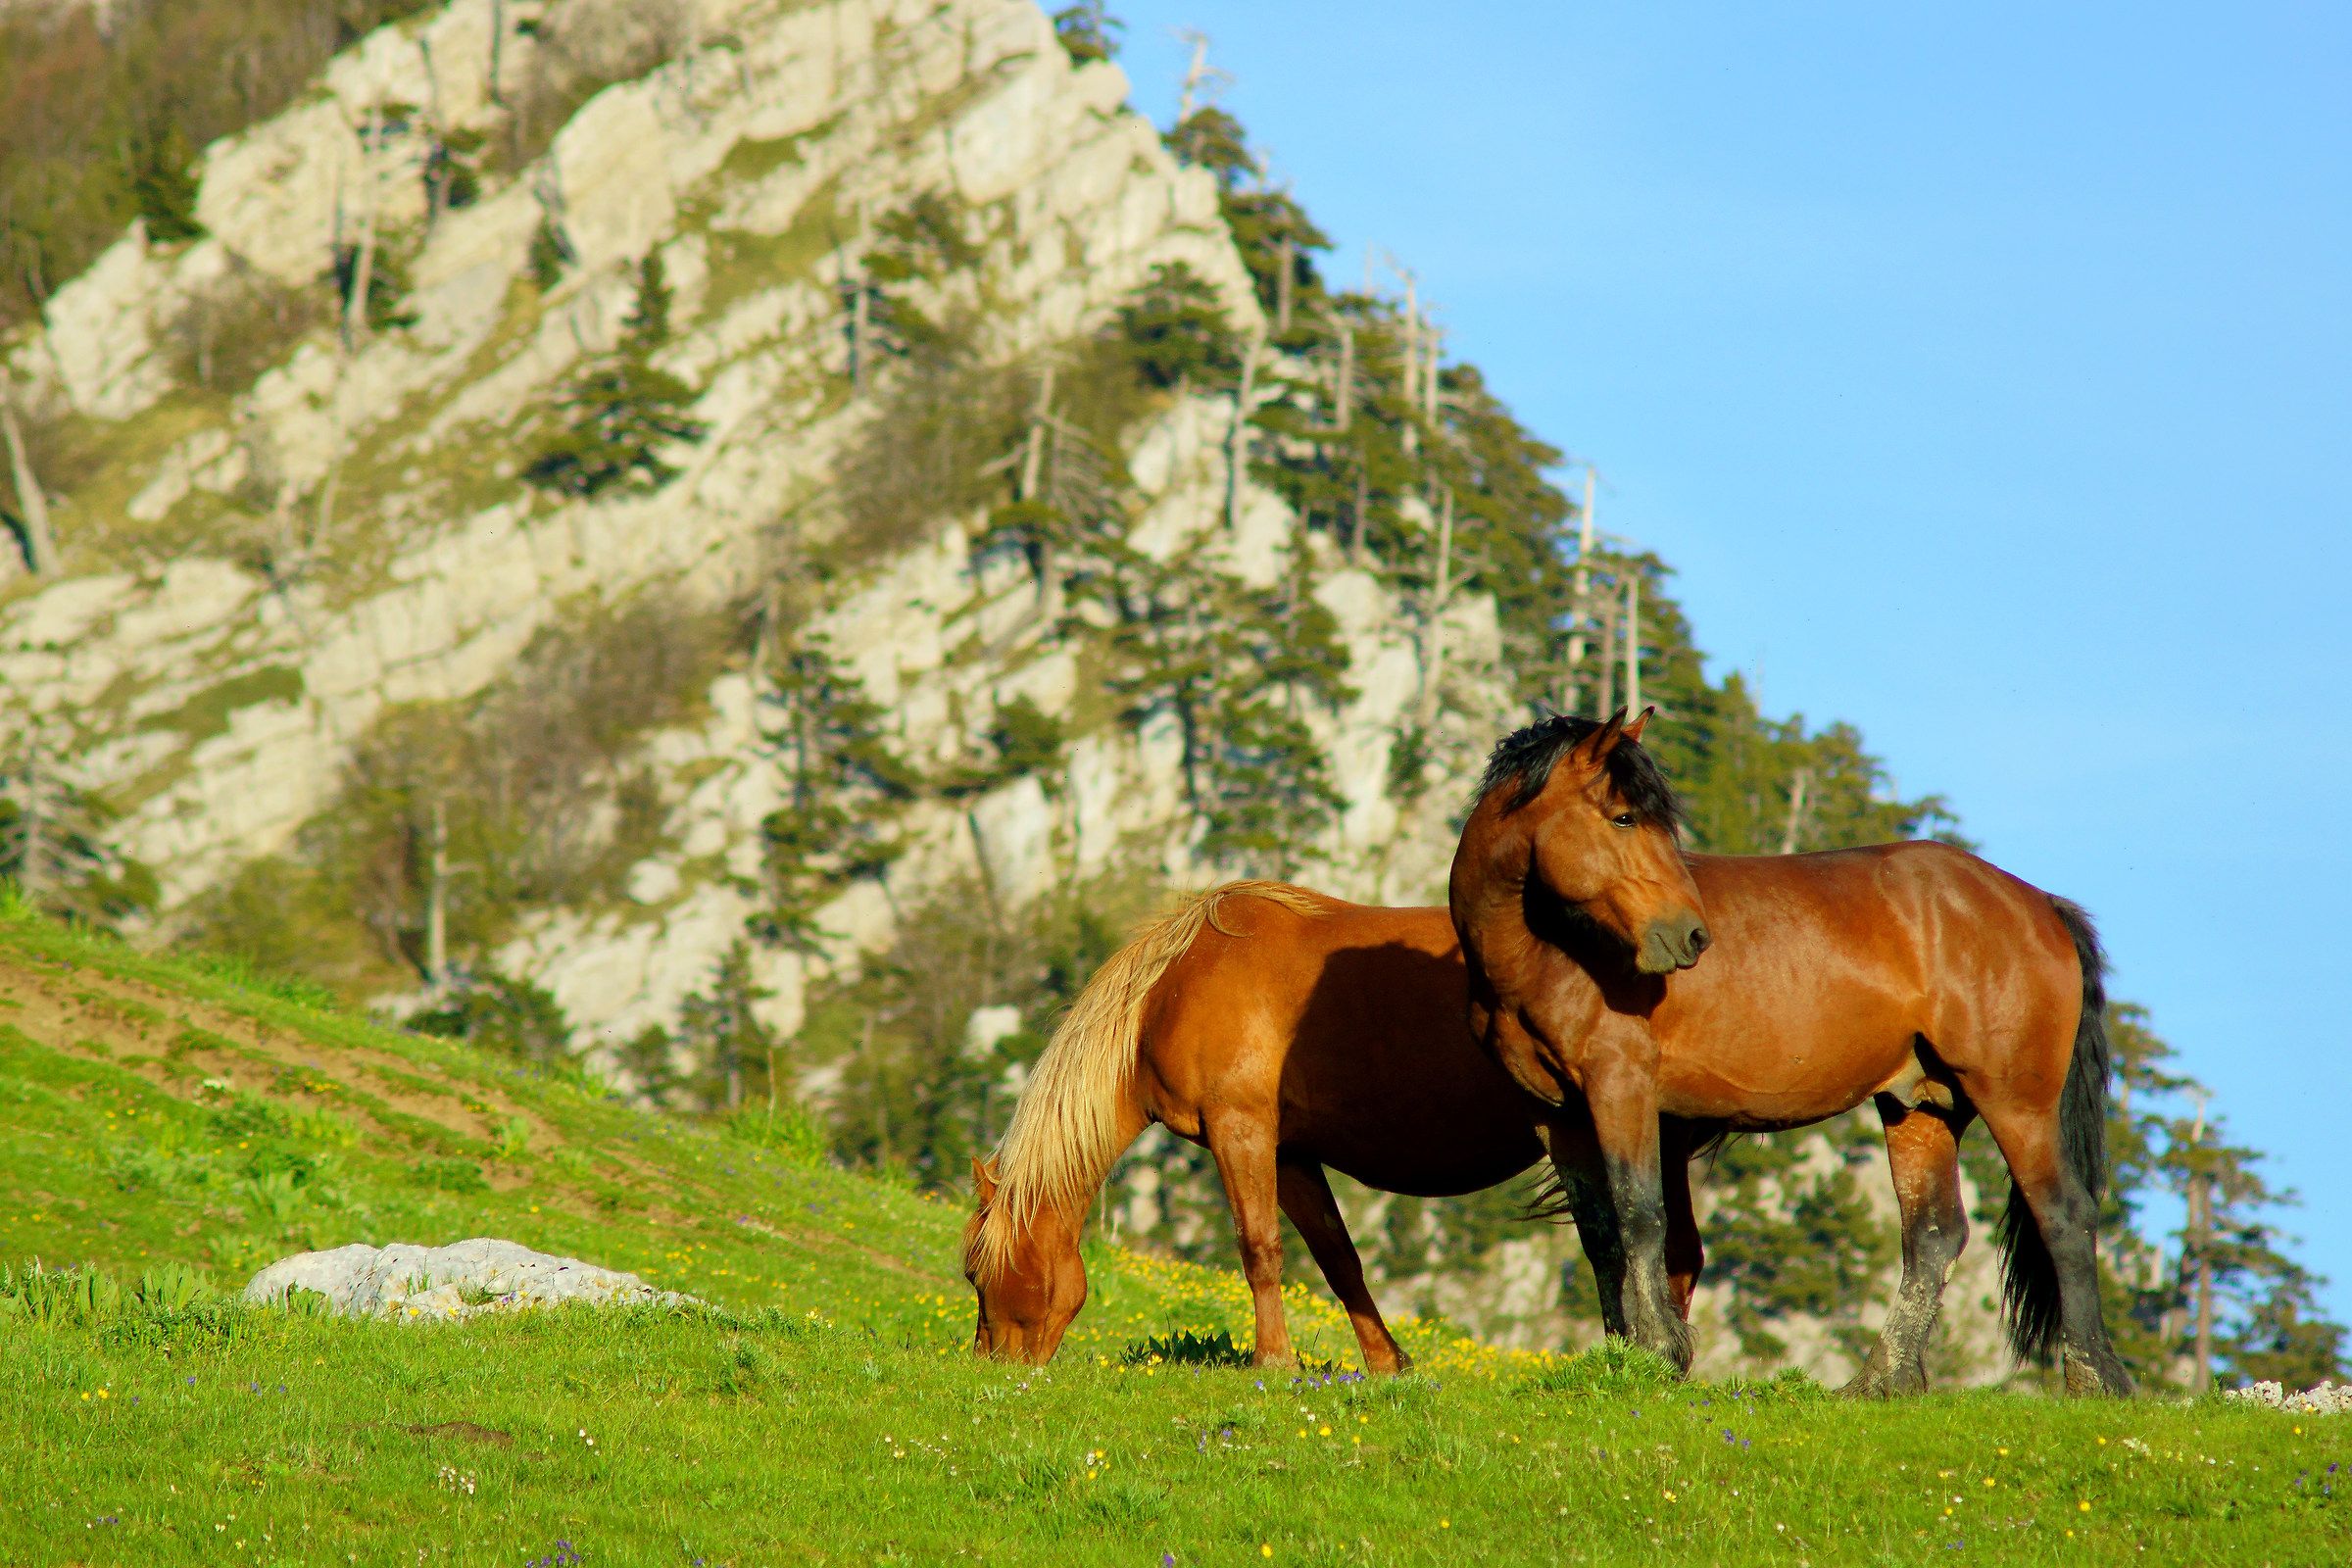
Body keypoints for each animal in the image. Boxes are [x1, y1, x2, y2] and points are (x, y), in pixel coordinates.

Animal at [962, 881, 1649, 1371]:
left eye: (973, 1272)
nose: (988, 1364)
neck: (1173, 988)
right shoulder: (1289, 1153)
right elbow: (1338, 1259)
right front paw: (1386, 1363)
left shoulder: (1241, 1132)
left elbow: (1260, 1249)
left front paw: (1273, 1362)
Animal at [1448, 707, 2133, 1396]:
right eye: (1621, 817)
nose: (1691, 935)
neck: (1549, 954)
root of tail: (2038, 903)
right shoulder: (1555, 1113)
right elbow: (1600, 1233)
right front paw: (1623, 1352)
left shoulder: (1623, 1089)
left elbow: (1640, 1217)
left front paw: (1656, 1353)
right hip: (1923, 1106)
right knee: (1934, 1235)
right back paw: (1880, 1382)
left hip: (2017, 1101)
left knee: (2064, 1216)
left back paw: (2095, 1378)